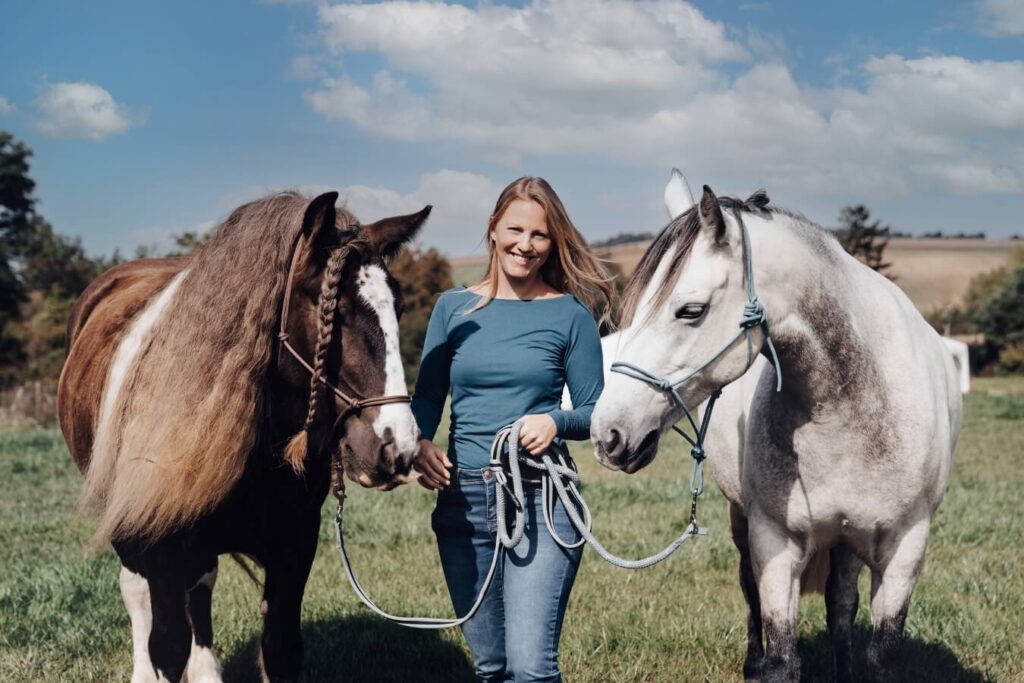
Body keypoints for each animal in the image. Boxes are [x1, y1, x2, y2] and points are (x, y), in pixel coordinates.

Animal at [59, 192, 428, 683]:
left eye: (398, 309)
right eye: (335, 313)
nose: (396, 446)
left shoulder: (293, 548)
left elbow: (279, 649)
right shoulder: (157, 547)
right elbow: (166, 646)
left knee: (201, 586)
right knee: (136, 591)